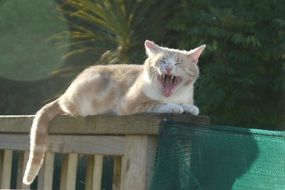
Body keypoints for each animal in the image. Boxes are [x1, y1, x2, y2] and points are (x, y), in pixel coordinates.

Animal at [22, 40, 204, 184]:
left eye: (178, 63)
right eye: (162, 61)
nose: (169, 67)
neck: (171, 95)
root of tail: (67, 91)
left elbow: (189, 105)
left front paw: (190, 108)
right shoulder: (129, 103)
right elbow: (156, 103)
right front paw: (173, 106)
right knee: (65, 106)